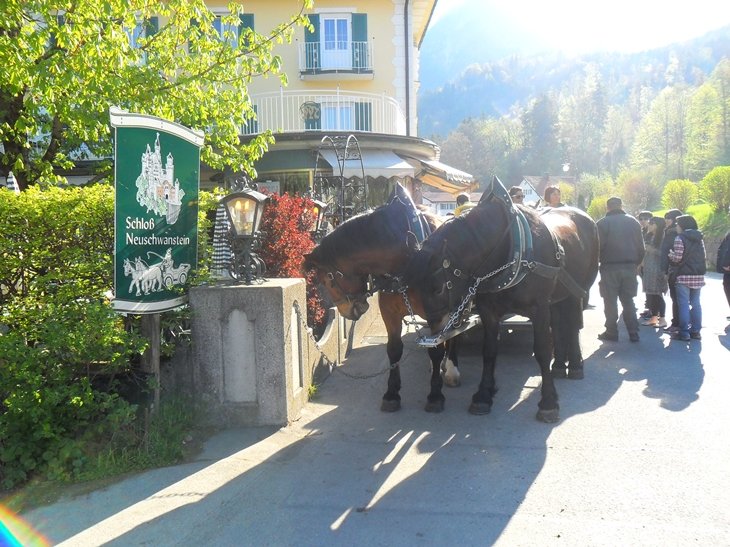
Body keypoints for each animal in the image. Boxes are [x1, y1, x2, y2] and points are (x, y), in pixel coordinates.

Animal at [302, 191, 460, 414]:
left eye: (327, 280)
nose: (345, 311)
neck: (409, 256)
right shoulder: (389, 311)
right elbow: (394, 349)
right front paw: (392, 394)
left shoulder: (437, 313)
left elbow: (436, 349)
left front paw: (435, 395)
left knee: (455, 335)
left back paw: (451, 369)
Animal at [404, 178, 596, 422]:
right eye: (412, 290)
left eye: (438, 289)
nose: (433, 340)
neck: (511, 247)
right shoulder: (489, 310)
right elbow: (489, 350)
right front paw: (483, 395)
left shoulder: (540, 308)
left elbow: (543, 350)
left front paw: (548, 403)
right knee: (561, 324)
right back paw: (561, 366)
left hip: (577, 290)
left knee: (572, 324)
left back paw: (576, 366)